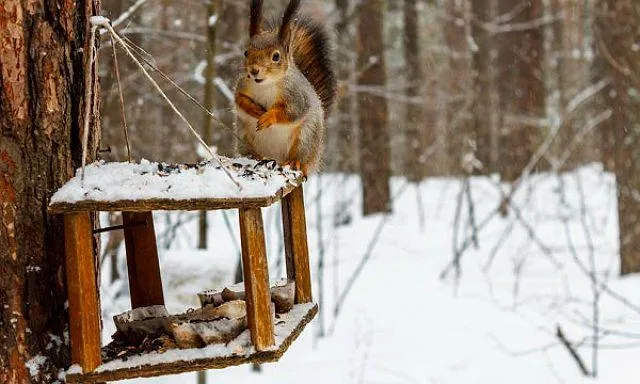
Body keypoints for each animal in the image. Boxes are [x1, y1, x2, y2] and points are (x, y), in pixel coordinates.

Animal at [234, 0, 336, 176]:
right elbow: (239, 100)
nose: (253, 71)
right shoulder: (243, 85)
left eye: (276, 56)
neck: (265, 84)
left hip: (306, 138)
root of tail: (276, 157)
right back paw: (254, 156)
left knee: (302, 156)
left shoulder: (296, 96)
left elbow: (292, 112)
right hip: (244, 135)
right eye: (246, 52)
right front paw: (253, 109)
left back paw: (295, 163)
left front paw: (269, 117)